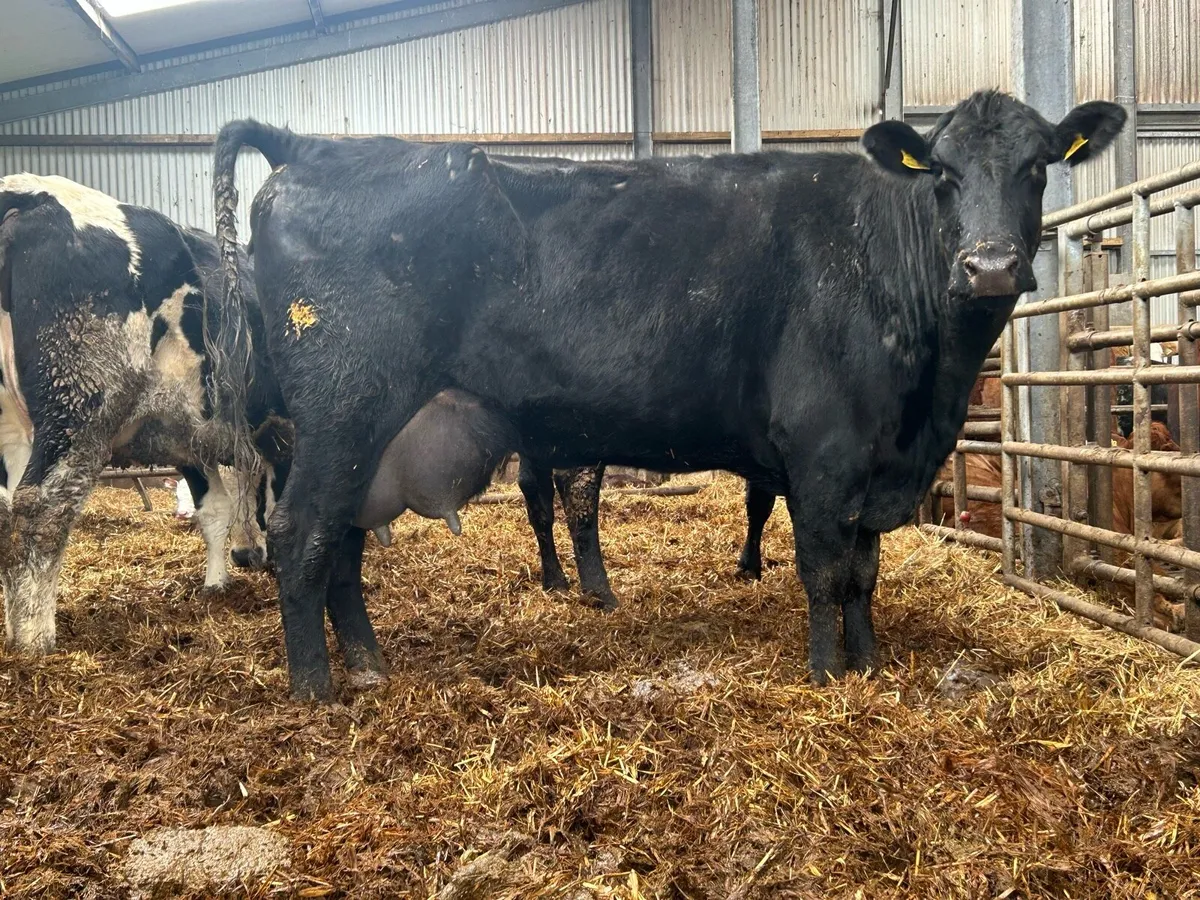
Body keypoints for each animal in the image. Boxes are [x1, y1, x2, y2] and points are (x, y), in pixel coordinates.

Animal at [0, 174, 285, 655]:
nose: (249, 557)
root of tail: (25, 192)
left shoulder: (190, 437)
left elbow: (216, 510)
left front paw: (216, 585)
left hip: (13, 430)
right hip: (79, 410)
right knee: (42, 509)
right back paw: (34, 638)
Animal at [212, 89, 1126, 700]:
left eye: (1038, 167)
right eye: (941, 173)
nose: (990, 265)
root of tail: (310, 146)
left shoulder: (875, 463)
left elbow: (865, 574)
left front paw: (869, 664)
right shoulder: (825, 452)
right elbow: (825, 570)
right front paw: (828, 675)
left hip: (360, 433)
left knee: (342, 539)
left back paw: (367, 666)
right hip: (341, 410)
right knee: (301, 533)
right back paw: (316, 688)